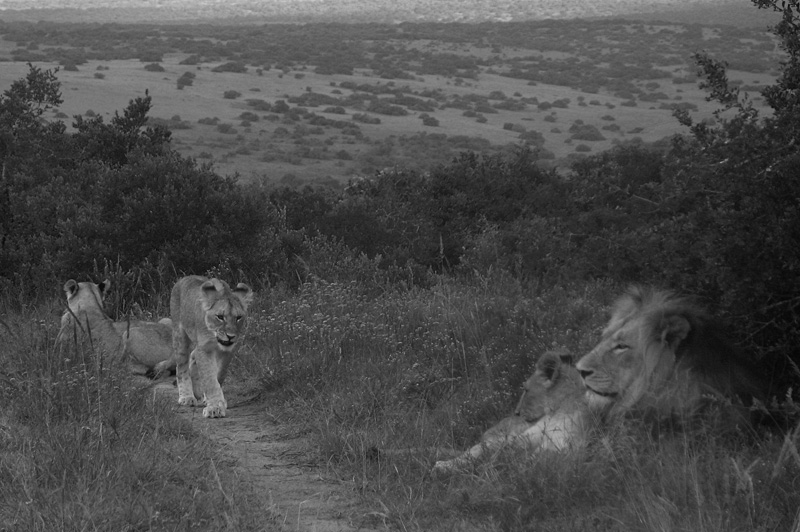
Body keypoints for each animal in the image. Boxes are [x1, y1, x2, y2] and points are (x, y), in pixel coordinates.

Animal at [170, 275, 253, 419]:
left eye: (238, 317)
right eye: (220, 317)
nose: (230, 336)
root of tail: (182, 279)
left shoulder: (229, 352)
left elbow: (218, 376)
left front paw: (215, 401)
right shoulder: (205, 348)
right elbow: (209, 379)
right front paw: (214, 408)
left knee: (193, 356)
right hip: (180, 336)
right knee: (181, 368)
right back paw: (187, 397)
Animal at [433, 350, 592, 473]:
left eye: (526, 390)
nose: (516, 413)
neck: (561, 405)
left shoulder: (563, 448)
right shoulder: (525, 437)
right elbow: (498, 453)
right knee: (472, 452)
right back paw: (441, 464)